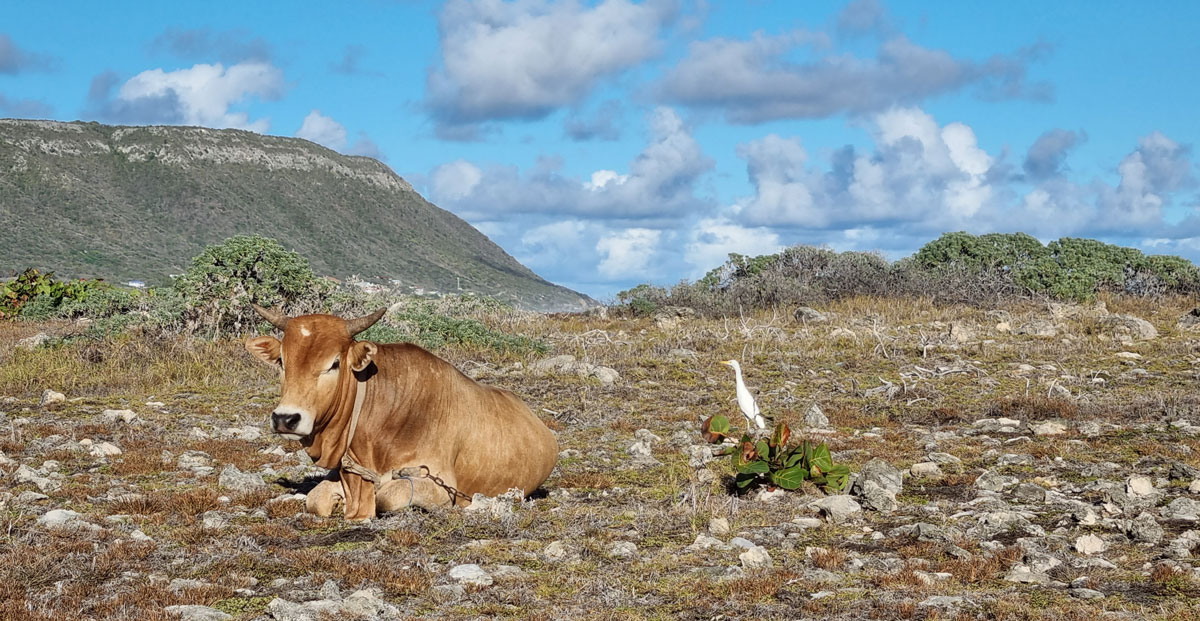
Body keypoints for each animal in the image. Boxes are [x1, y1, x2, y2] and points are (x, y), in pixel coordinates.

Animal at [247, 306, 561, 520]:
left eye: (334, 363)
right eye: (282, 362)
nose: (285, 419)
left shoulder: (439, 484)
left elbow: (389, 495)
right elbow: (316, 499)